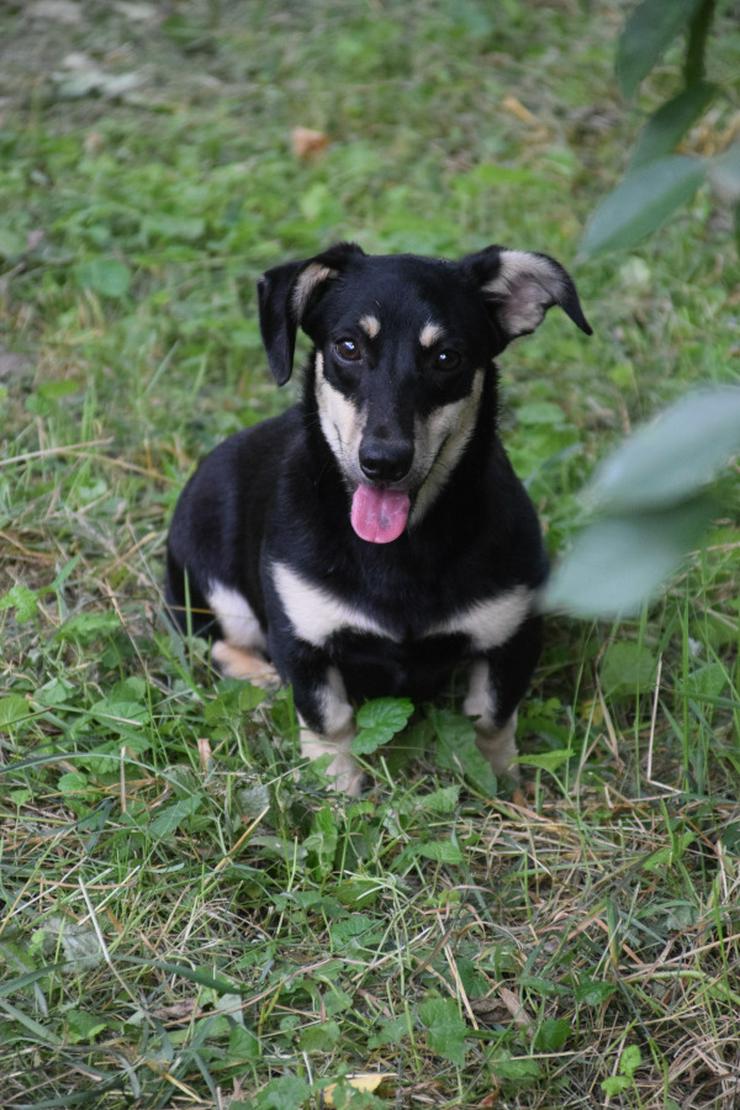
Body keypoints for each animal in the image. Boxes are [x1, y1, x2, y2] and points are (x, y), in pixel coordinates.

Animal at [166, 244, 590, 799]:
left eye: (446, 357)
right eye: (347, 347)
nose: (384, 462)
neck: (401, 550)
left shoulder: (514, 634)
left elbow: (492, 717)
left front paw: (503, 782)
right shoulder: (302, 642)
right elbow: (330, 722)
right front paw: (338, 792)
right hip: (215, 591)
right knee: (214, 644)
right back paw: (261, 679)